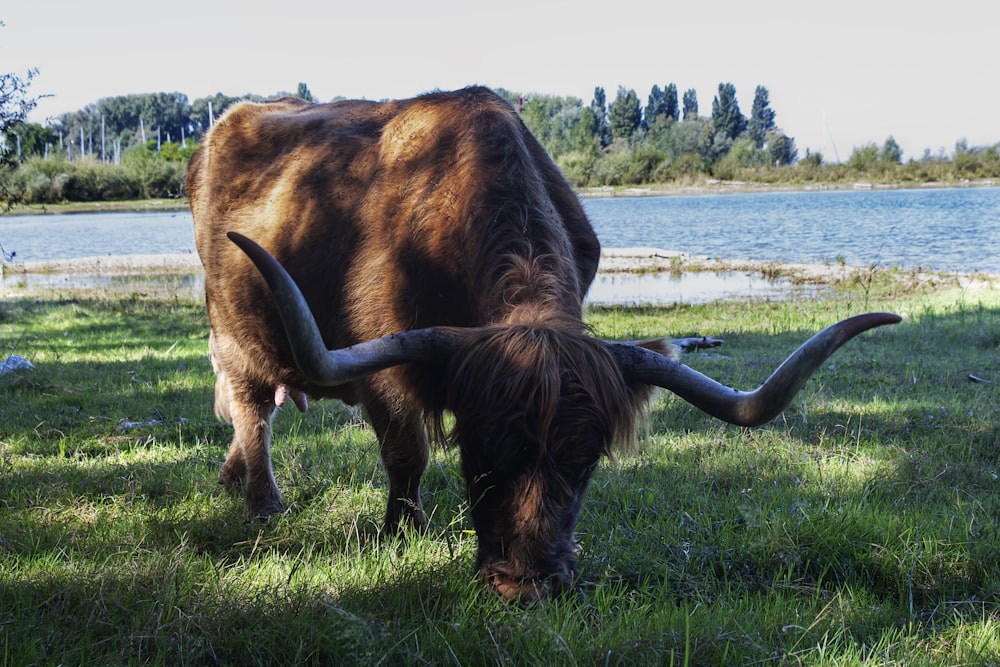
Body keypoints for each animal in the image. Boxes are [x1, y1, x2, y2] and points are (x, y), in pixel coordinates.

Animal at [188, 86, 900, 604]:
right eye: (480, 453)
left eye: (584, 463)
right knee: (253, 410)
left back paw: (230, 477)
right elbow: (407, 453)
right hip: (234, 333)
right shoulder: (390, 365)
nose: (525, 585)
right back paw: (262, 503)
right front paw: (400, 533)